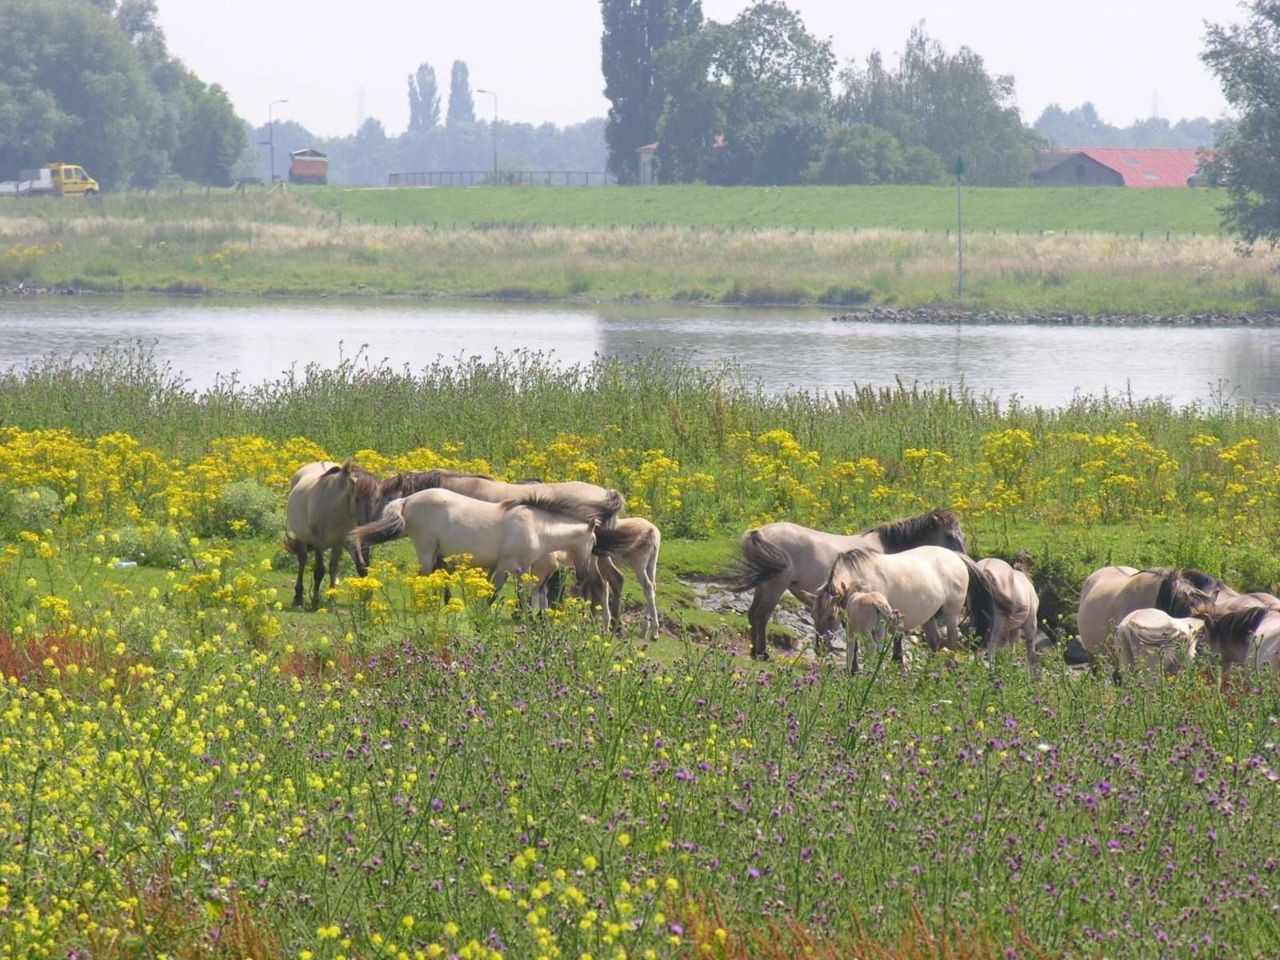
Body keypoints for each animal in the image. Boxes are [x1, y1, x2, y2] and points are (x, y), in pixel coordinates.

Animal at [284, 460, 400, 610]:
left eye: (376, 499)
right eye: (356, 498)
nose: (367, 525)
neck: (335, 509)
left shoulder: (346, 543)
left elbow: (357, 569)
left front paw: (362, 600)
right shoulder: (318, 544)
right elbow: (319, 571)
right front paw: (316, 602)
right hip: (301, 537)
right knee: (302, 560)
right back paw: (298, 598)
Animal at [347, 488, 632, 604]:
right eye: (593, 543)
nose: (584, 575)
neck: (535, 526)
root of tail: (407, 500)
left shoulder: (522, 568)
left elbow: (524, 594)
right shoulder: (505, 565)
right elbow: (494, 593)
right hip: (426, 550)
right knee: (424, 577)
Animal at [531, 517, 662, 639]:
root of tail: (653, 532)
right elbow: (603, 587)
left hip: (638, 565)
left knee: (646, 587)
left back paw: (651, 630)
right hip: (651, 564)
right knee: (652, 587)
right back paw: (647, 629)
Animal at [722, 508, 967, 660]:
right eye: (949, 535)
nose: (964, 557)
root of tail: (760, 532)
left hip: (763, 585)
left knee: (753, 614)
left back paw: (755, 651)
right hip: (775, 586)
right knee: (762, 615)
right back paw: (763, 653)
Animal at [811, 546, 1006, 674]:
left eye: (831, 616)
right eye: (813, 616)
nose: (819, 648)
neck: (861, 578)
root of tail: (955, 555)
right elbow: (856, 646)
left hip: (951, 613)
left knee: (951, 640)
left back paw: (948, 669)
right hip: (930, 617)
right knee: (934, 642)